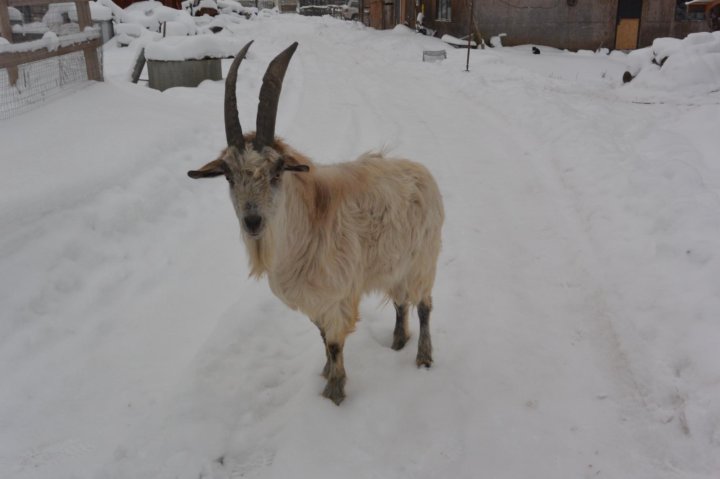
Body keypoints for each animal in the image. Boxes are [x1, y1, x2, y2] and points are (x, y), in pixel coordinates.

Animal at [188, 41, 444, 405]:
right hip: (394, 263)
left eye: (277, 171)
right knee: (400, 302)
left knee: (423, 305)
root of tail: (421, 171)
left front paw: (334, 394)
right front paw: (325, 373)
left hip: (423, 259)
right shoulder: (315, 303)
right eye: (228, 175)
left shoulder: (337, 298)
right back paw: (397, 342)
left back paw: (423, 357)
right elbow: (323, 339)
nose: (252, 221)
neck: (307, 225)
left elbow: (335, 343)